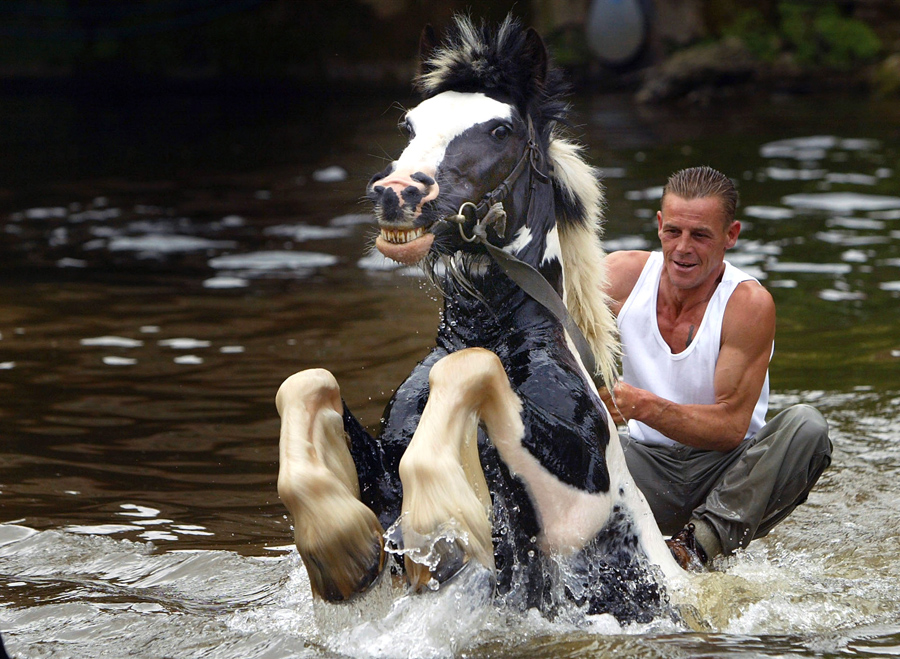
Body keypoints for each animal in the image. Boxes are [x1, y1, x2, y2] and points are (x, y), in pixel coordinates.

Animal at [274, 15, 684, 624]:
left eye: (499, 131)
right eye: (410, 122)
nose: (396, 193)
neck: (497, 329)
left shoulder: (578, 500)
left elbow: (469, 367)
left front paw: (438, 534)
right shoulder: (381, 477)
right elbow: (306, 382)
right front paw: (344, 550)